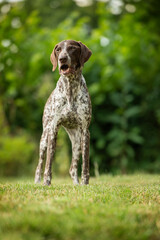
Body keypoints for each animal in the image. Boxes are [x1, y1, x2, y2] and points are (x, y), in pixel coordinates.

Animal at [34, 39, 92, 186]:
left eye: (72, 48)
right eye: (58, 49)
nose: (62, 59)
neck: (70, 88)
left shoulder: (85, 131)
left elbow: (85, 162)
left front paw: (85, 184)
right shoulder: (53, 129)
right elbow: (48, 162)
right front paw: (46, 182)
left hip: (77, 142)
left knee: (72, 168)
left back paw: (77, 184)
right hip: (44, 138)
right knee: (39, 164)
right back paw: (37, 182)